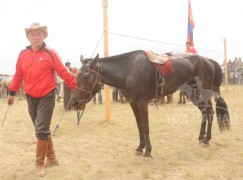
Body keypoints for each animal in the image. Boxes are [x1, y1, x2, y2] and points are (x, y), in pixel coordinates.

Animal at [70, 50, 230, 157]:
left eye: (86, 76)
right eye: (77, 76)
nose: (74, 102)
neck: (129, 71)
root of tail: (208, 61)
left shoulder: (142, 103)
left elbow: (145, 126)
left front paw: (148, 151)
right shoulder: (133, 103)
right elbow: (139, 126)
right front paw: (140, 147)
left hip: (205, 93)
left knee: (209, 112)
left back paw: (207, 139)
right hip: (193, 93)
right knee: (204, 112)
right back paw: (201, 137)